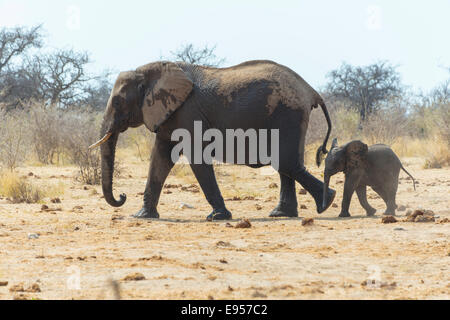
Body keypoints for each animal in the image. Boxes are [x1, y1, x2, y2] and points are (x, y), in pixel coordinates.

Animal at [91, 60, 336, 220]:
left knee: (285, 162)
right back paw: (282, 214)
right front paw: (142, 216)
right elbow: (160, 158)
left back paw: (327, 202)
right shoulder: (169, 114)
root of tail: (311, 90)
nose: (122, 196)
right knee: (285, 164)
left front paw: (218, 217)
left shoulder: (188, 112)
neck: (148, 72)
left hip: (289, 114)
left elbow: (195, 157)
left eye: (117, 102)